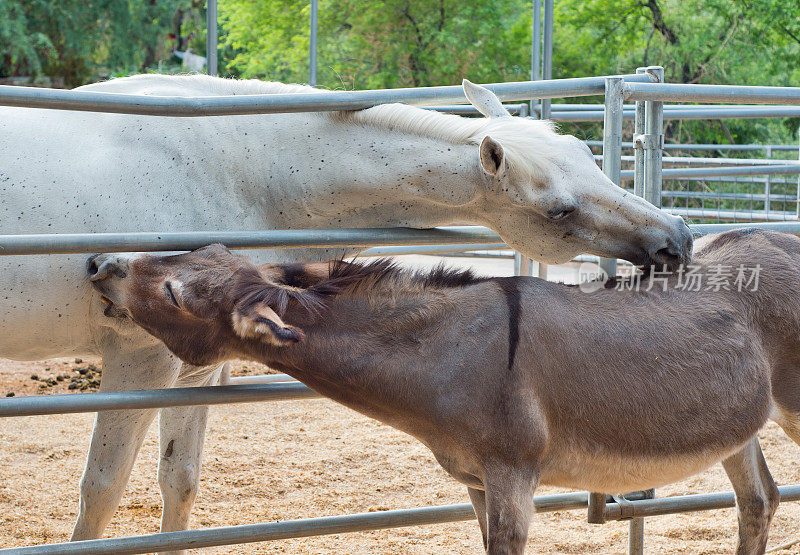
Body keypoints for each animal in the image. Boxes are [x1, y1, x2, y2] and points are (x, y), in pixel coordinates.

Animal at [0, 75, 688, 552]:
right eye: (559, 211)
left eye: (586, 152)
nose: (675, 238)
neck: (233, 162)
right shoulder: (139, 357)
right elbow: (101, 491)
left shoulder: (196, 363)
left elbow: (180, 482)